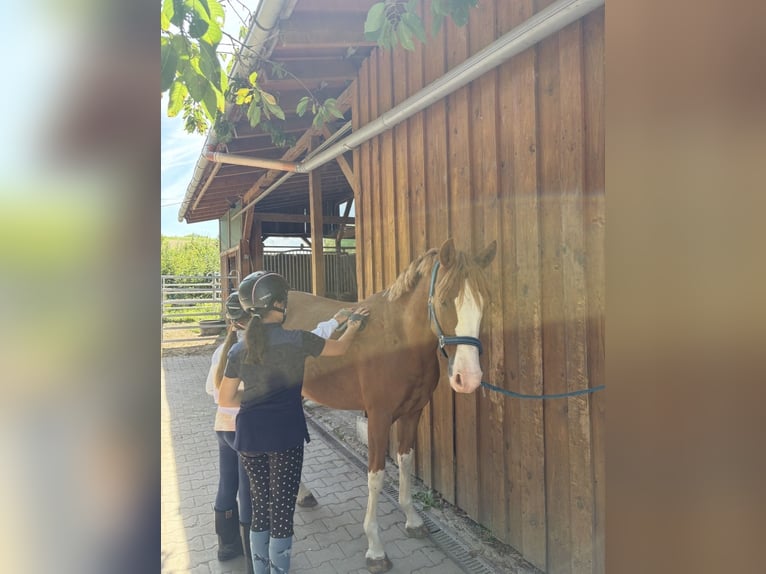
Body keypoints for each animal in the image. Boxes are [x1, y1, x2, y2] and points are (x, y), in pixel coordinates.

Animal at [283, 237, 497, 572]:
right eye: (444, 301)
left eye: (484, 302)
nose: (468, 377)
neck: (398, 339)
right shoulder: (379, 418)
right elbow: (377, 475)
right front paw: (375, 548)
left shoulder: (412, 414)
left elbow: (405, 462)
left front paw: (412, 520)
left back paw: (303, 495)